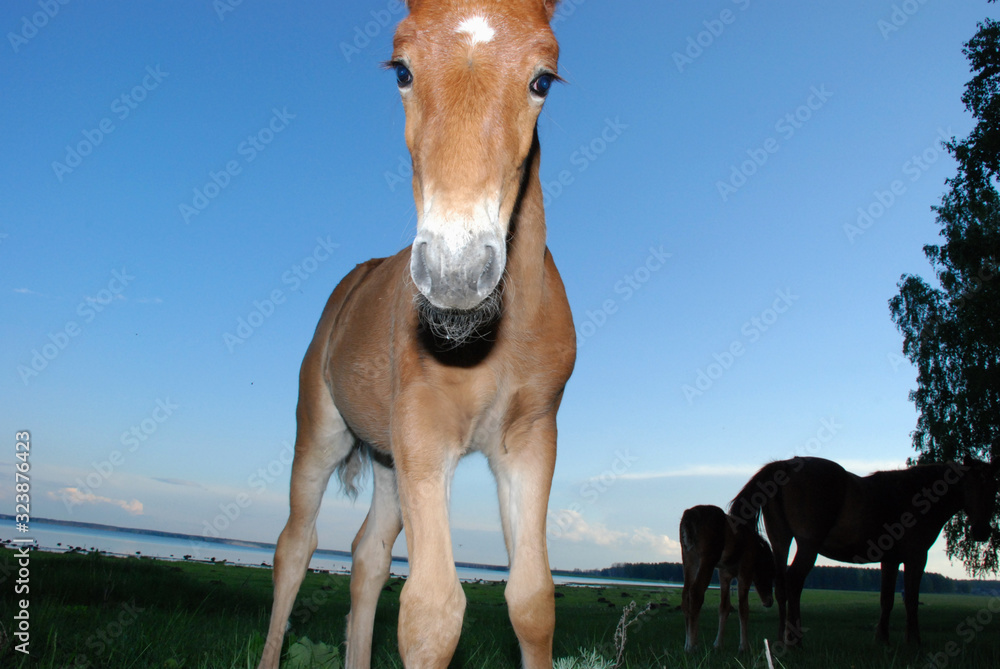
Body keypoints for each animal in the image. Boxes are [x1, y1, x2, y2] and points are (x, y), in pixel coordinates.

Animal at [256, 2, 574, 668]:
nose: (456, 273)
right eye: (402, 70)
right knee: (295, 547)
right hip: (322, 433)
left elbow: (532, 601)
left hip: (386, 460)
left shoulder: (531, 440)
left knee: (366, 556)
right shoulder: (425, 433)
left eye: (543, 80)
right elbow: (432, 614)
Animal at [680, 504, 774, 653]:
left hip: (689, 560)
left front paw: (718, 644)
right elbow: (743, 608)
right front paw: (744, 646)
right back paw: (692, 646)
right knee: (696, 593)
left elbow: (724, 607)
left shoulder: (724, 575)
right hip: (707, 561)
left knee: (685, 595)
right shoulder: (745, 572)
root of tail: (690, 515)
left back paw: (686, 644)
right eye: (769, 573)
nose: (769, 601)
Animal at [729, 456, 999, 648]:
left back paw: (780, 638)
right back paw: (795, 641)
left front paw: (883, 639)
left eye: (994, 489)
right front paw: (914, 641)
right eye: (971, 485)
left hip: (781, 542)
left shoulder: (891, 560)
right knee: (794, 582)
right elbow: (911, 599)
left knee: (783, 586)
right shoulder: (916, 557)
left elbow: (886, 599)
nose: (982, 531)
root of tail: (785, 465)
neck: (915, 495)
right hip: (807, 546)